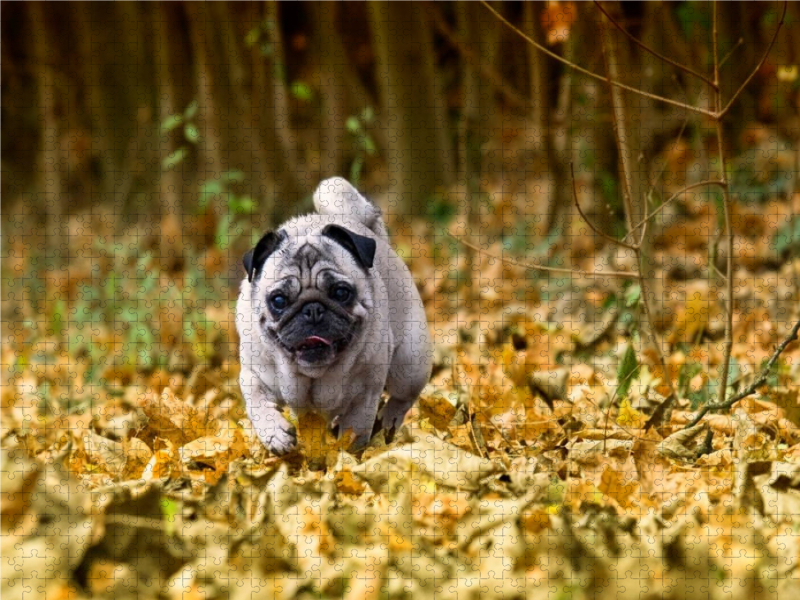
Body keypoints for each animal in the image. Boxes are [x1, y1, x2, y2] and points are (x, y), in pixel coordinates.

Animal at [238, 178, 434, 454]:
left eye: (341, 292)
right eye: (278, 300)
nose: (312, 309)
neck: (314, 375)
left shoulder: (365, 396)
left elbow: (355, 432)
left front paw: (348, 457)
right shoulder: (253, 373)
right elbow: (256, 399)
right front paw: (274, 433)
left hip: (410, 363)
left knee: (403, 395)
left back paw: (390, 419)